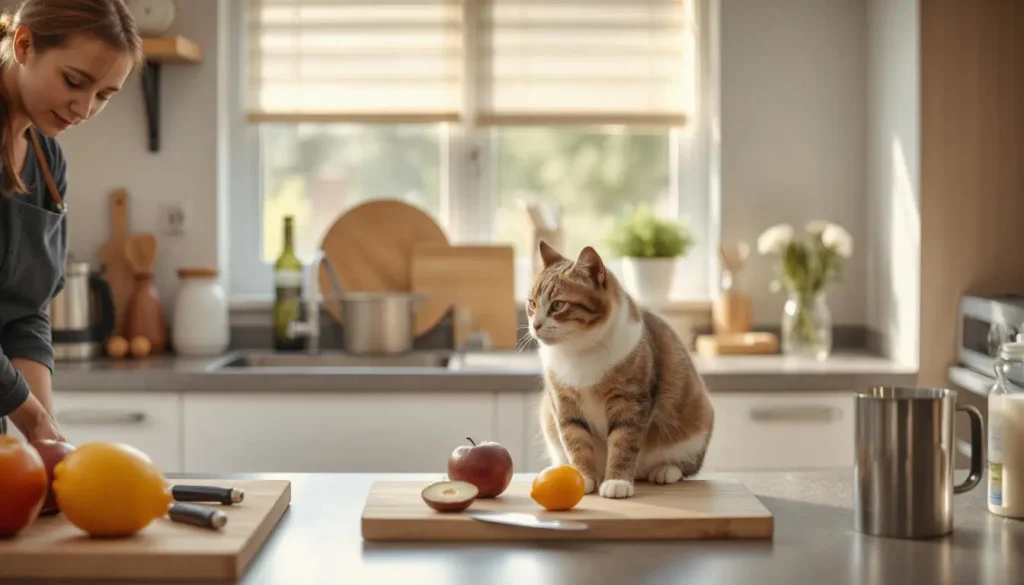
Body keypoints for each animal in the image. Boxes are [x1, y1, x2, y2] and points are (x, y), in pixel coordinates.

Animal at [528, 240, 712, 502]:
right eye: (532, 304)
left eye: (558, 305)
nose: (535, 325)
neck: (579, 350)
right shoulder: (564, 404)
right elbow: (575, 441)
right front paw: (582, 477)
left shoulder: (630, 402)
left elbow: (623, 444)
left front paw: (617, 481)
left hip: (696, 426)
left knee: (686, 466)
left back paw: (665, 470)